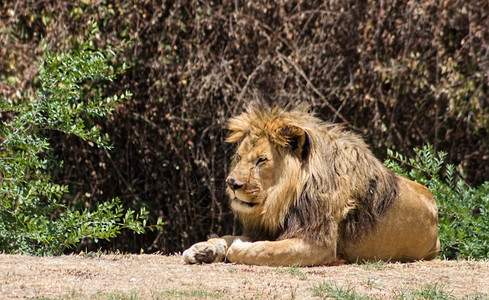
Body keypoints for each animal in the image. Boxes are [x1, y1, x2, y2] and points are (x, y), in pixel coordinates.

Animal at [182, 103, 438, 268]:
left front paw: (237, 248)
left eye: (261, 160)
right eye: (239, 157)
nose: (232, 183)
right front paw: (202, 250)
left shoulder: (317, 244)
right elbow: (228, 237)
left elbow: (265, 250)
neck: (282, 199)